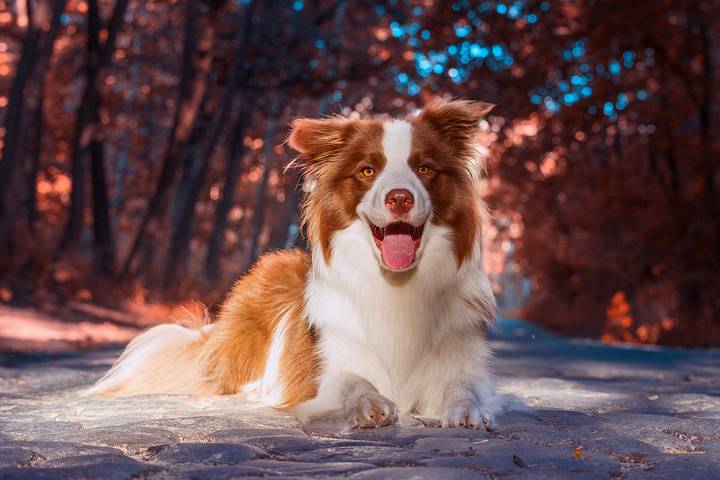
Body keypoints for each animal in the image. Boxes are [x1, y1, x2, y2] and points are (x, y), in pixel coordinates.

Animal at [87, 99, 504, 430]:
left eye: (425, 169)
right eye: (368, 171)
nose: (399, 198)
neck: (398, 286)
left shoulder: (460, 360)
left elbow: (464, 385)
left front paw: (467, 410)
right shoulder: (324, 370)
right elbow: (352, 381)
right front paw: (370, 404)